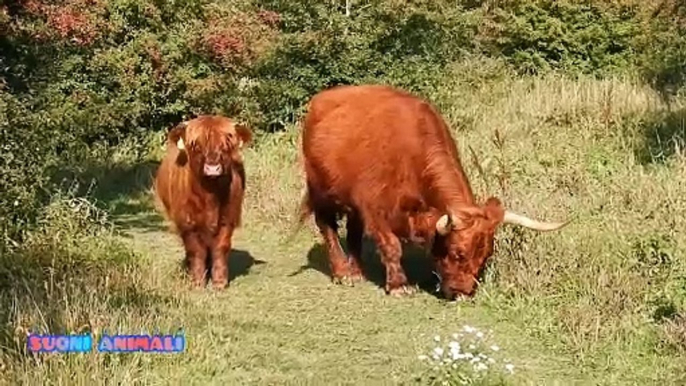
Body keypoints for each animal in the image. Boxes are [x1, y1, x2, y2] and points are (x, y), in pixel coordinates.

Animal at [155, 115, 254, 290]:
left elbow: (220, 248)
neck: (210, 196)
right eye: (196, 145)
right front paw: (197, 282)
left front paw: (219, 282)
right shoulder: (188, 222)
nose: (212, 168)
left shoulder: (228, 219)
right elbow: (196, 251)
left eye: (227, 145)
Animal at [298, 84, 568, 300]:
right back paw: (342, 273)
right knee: (327, 227)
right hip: (320, 191)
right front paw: (398, 285)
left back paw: (357, 271)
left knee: (353, 231)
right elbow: (391, 246)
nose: (463, 293)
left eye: (486, 254)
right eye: (458, 253)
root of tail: (321, 99)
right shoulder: (374, 208)